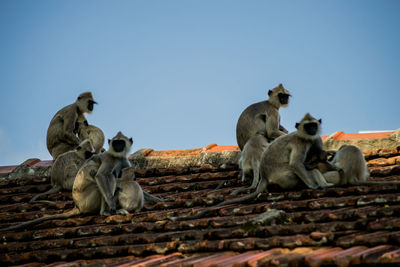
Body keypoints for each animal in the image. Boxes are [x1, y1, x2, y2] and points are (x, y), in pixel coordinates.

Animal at [171, 113, 332, 222]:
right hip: (281, 173)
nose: (312, 129)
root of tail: (264, 174)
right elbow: (296, 163)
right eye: (308, 126)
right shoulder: (301, 143)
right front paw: (313, 185)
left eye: (313, 125)